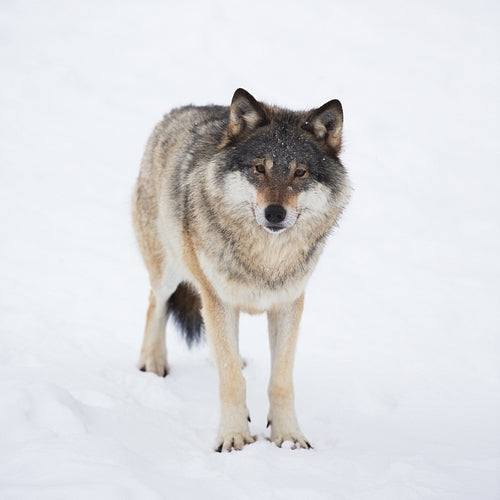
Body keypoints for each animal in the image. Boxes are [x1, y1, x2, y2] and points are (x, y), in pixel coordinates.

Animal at [133, 88, 352, 452]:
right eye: (259, 168)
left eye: (300, 173)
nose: (275, 213)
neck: (266, 261)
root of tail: (180, 110)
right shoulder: (218, 300)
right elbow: (232, 379)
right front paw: (233, 437)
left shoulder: (288, 304)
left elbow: (280, 380)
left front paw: (289, 437)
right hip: (169, 270)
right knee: (155, 302)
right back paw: (152, 362)